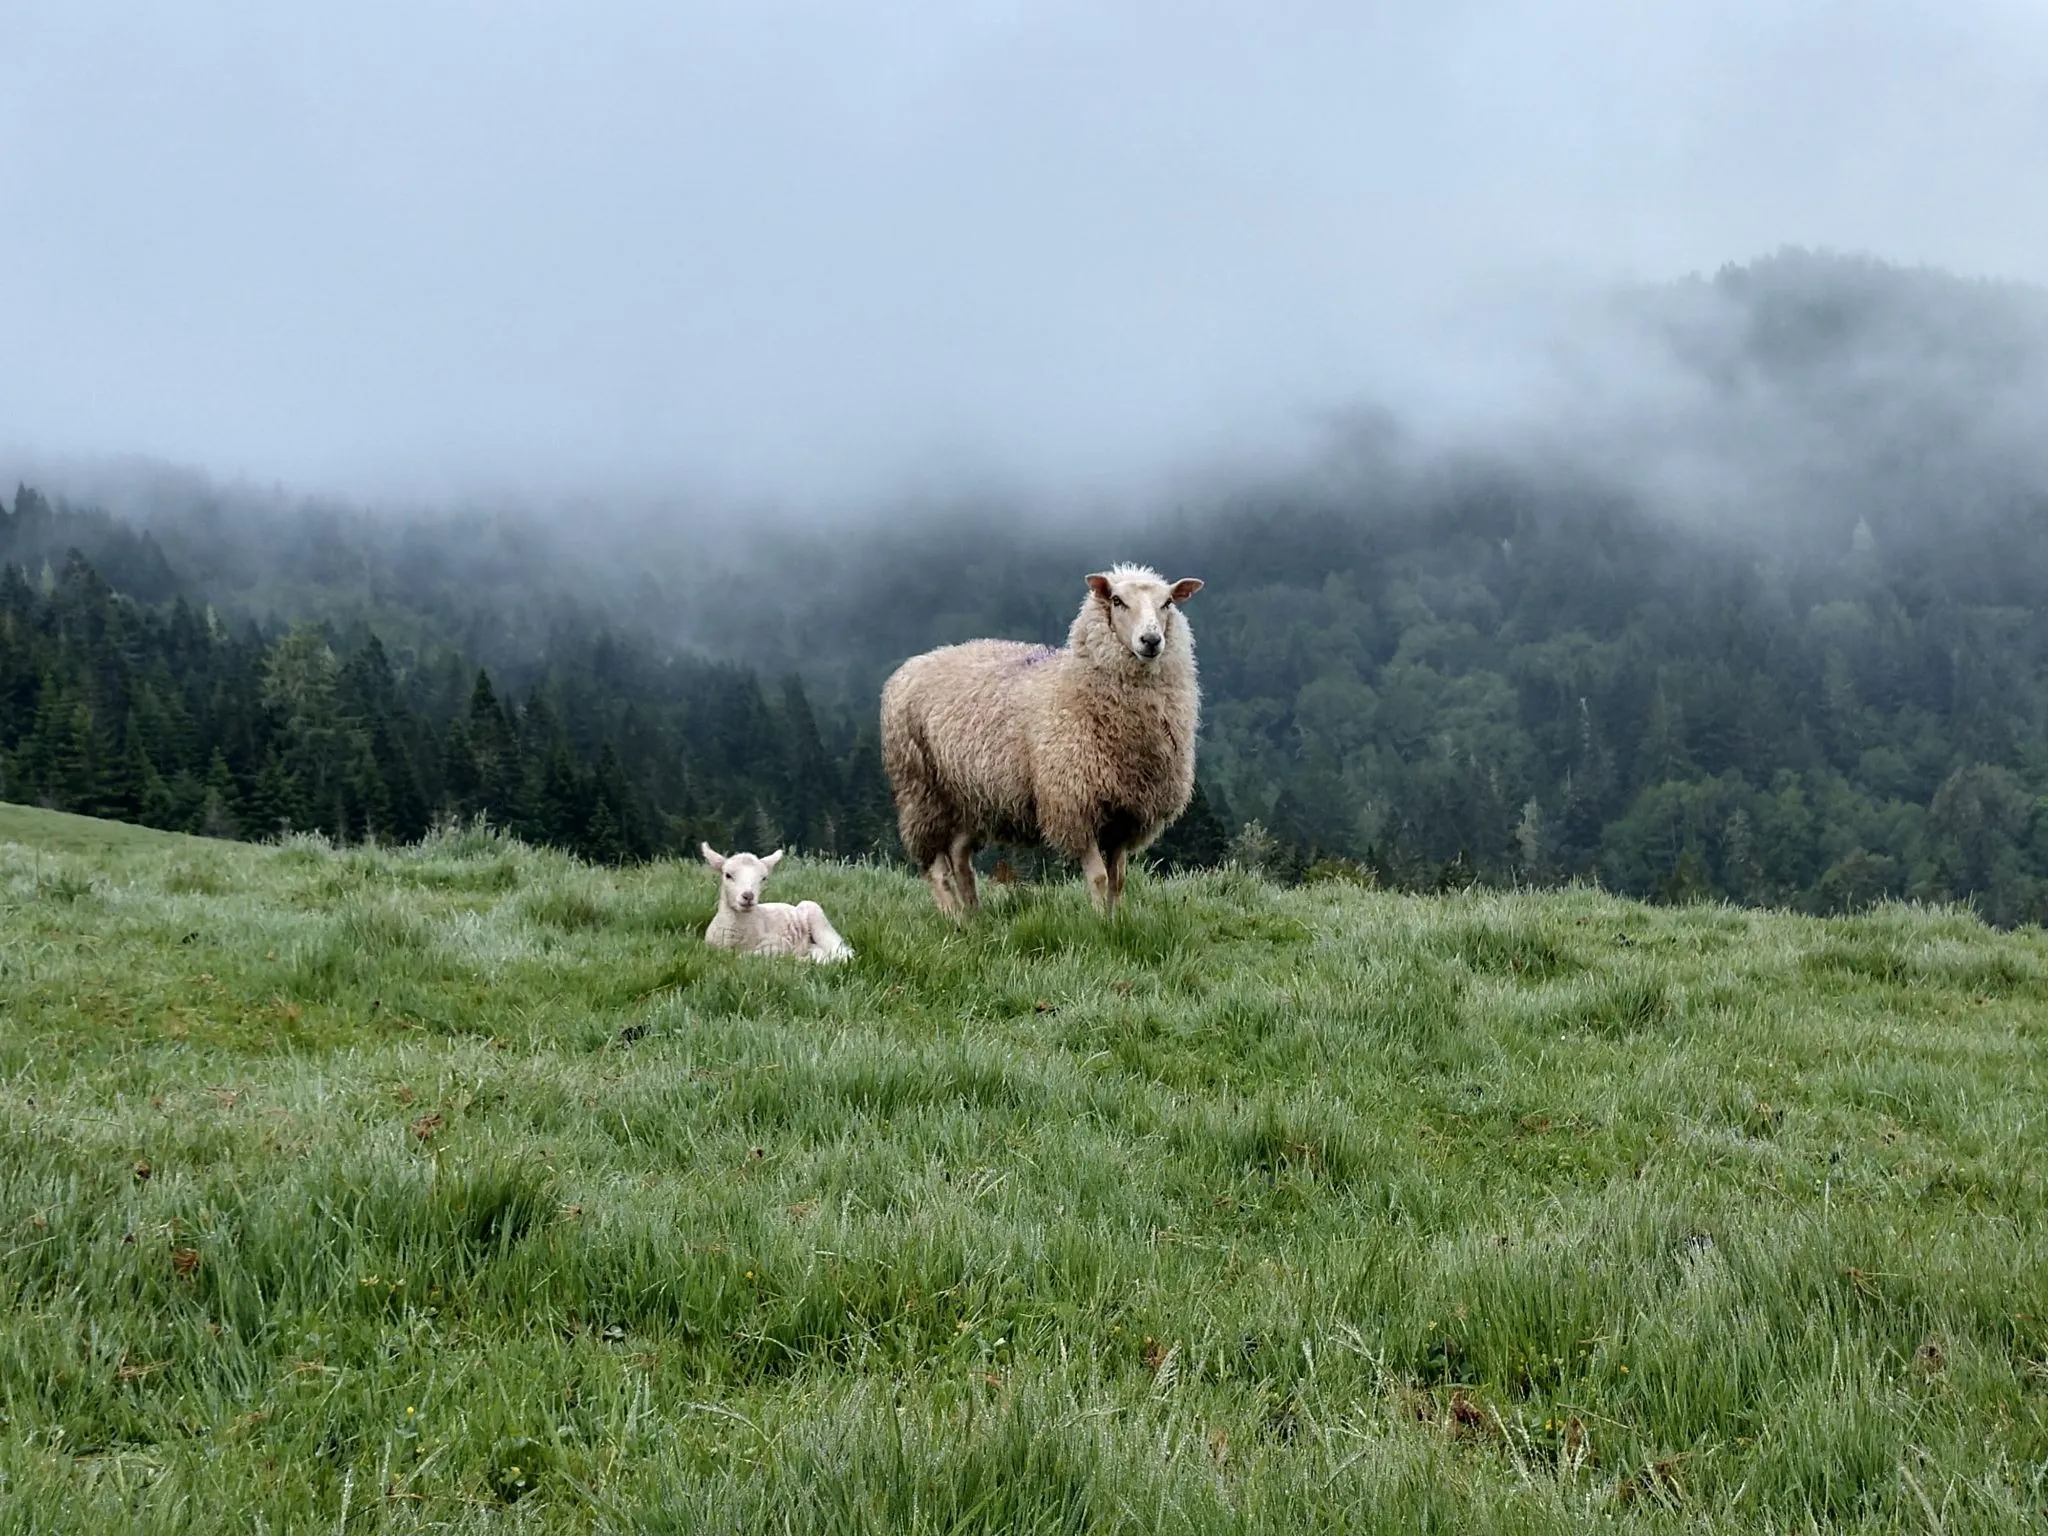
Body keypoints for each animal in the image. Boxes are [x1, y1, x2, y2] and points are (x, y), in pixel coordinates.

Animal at [700, 844, 855, 962]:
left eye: (763, 878)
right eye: (728, 875)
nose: (748, 896)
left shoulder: (778, 943)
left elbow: (748, 956)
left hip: (816, 915)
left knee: (842, 952)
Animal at [880, 563, 1204, 917]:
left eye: (1168, 603)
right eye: (1117, 601)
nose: (1151, 640)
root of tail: (910, 667)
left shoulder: (1126, 815)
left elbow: (1118, 879)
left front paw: (1116, 920)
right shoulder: (1073, 805)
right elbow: (1099, 878)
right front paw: (1101, 923)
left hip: (971, 798)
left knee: (958, 855)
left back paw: (974, 915)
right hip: (920, 789)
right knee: (933, 865)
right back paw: (953, 916)